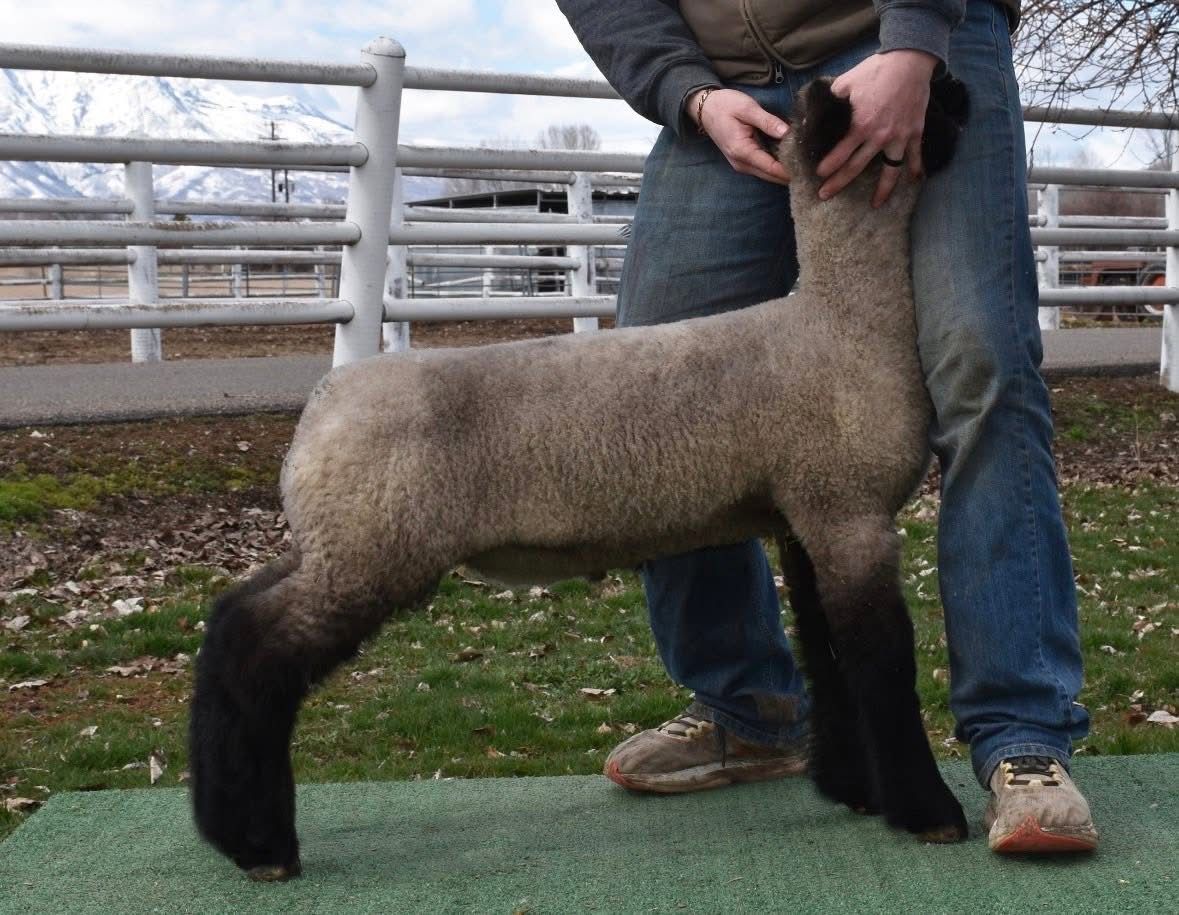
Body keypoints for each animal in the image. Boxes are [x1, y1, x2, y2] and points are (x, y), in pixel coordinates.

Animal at [190, 75, 971, 880]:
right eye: (920, 108)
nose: (953, 83)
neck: (842, 319)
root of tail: (320, 408)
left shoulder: (806, 517)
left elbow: (828, 655)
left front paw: (856, 789)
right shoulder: (849, 511)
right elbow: (881, 660)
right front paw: (928, 812)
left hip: (339, 541)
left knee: (233, 620)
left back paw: (230, 828)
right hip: (375, 547)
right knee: (259, 650)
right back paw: (261, 844)